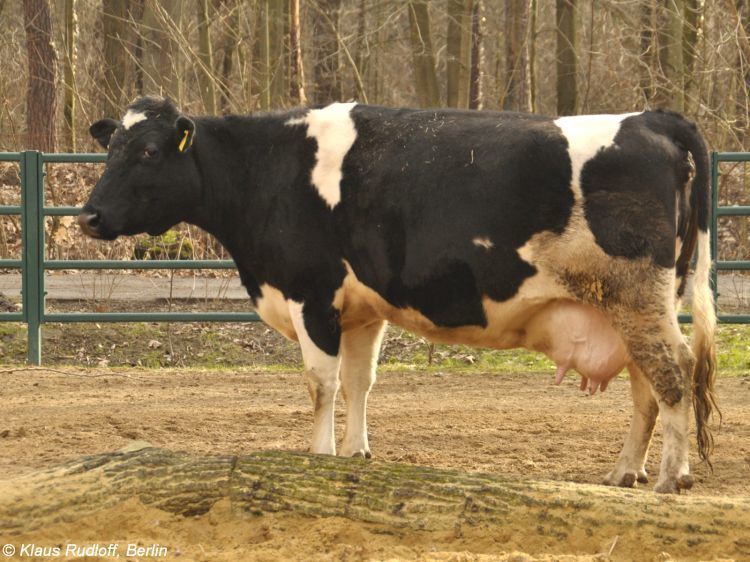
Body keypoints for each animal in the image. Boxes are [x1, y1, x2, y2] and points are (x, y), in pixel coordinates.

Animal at [79, 98, 720, 492]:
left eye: (149, 152)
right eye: (111, 149)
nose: (88, 215)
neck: (268, 171)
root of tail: (653, 118)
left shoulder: (311, 295)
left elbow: (321, 384)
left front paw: (320, 455)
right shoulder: (363, 309)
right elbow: (359, 381)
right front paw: (357, 452)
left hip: (636, 297)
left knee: (674, 374)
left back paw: (672, 476)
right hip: (633, 305)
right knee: (646, 387)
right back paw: (625, 473)